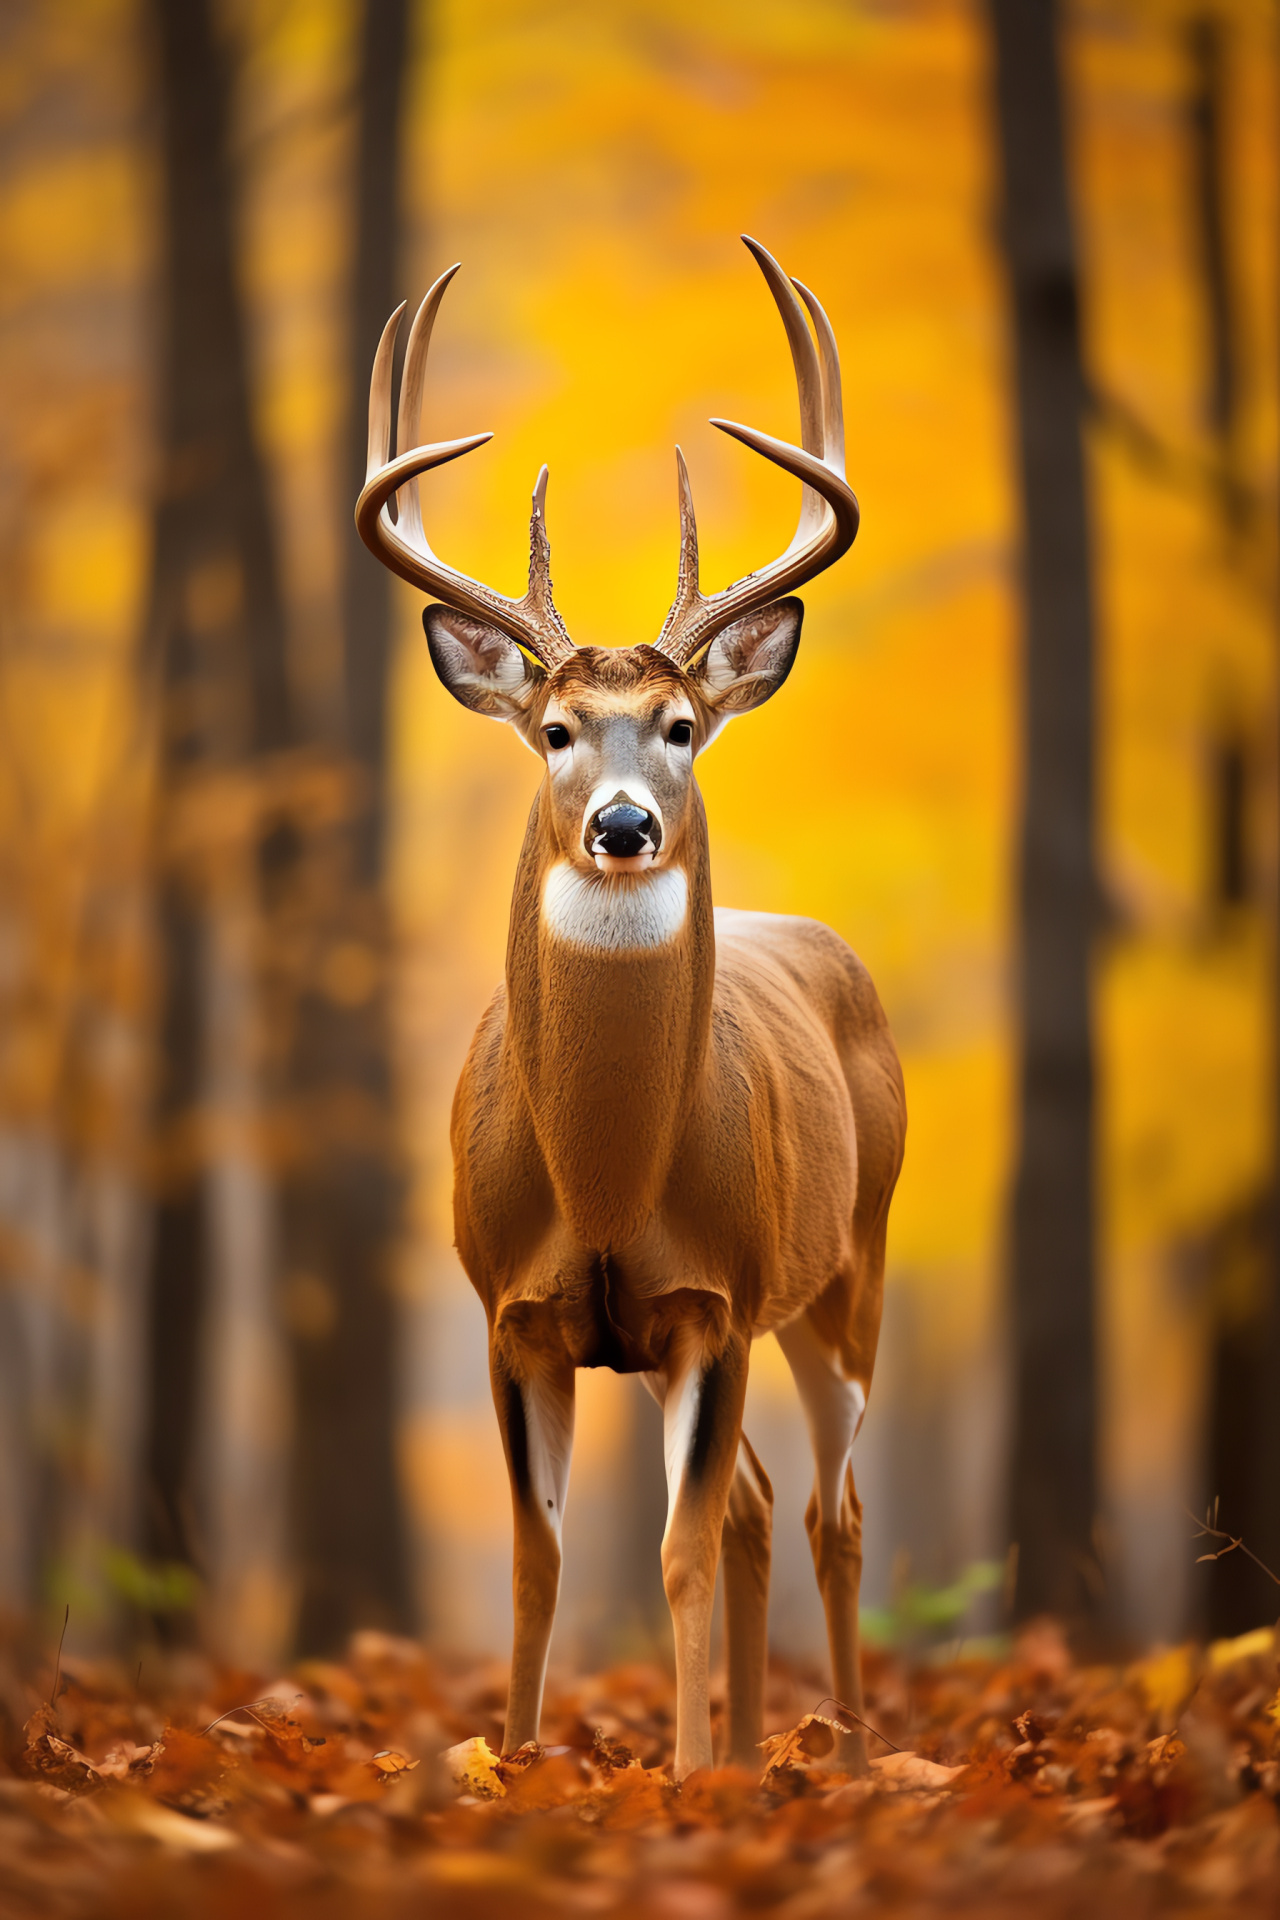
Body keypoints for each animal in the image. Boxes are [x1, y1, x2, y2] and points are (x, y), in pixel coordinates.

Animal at [355, 240, 905, 1781]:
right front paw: (517, 1761)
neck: (602, 1180)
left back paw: (838, 1753)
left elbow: (670, 1548)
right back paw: (767, 1749)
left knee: (830, 1508)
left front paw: (679, 1776)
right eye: (551, 728)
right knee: (768, 1504)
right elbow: (540, 1558)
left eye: (679, 727)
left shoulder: (711, 1298)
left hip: (847, 1270)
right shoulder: (509, 1313)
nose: (619, 824)